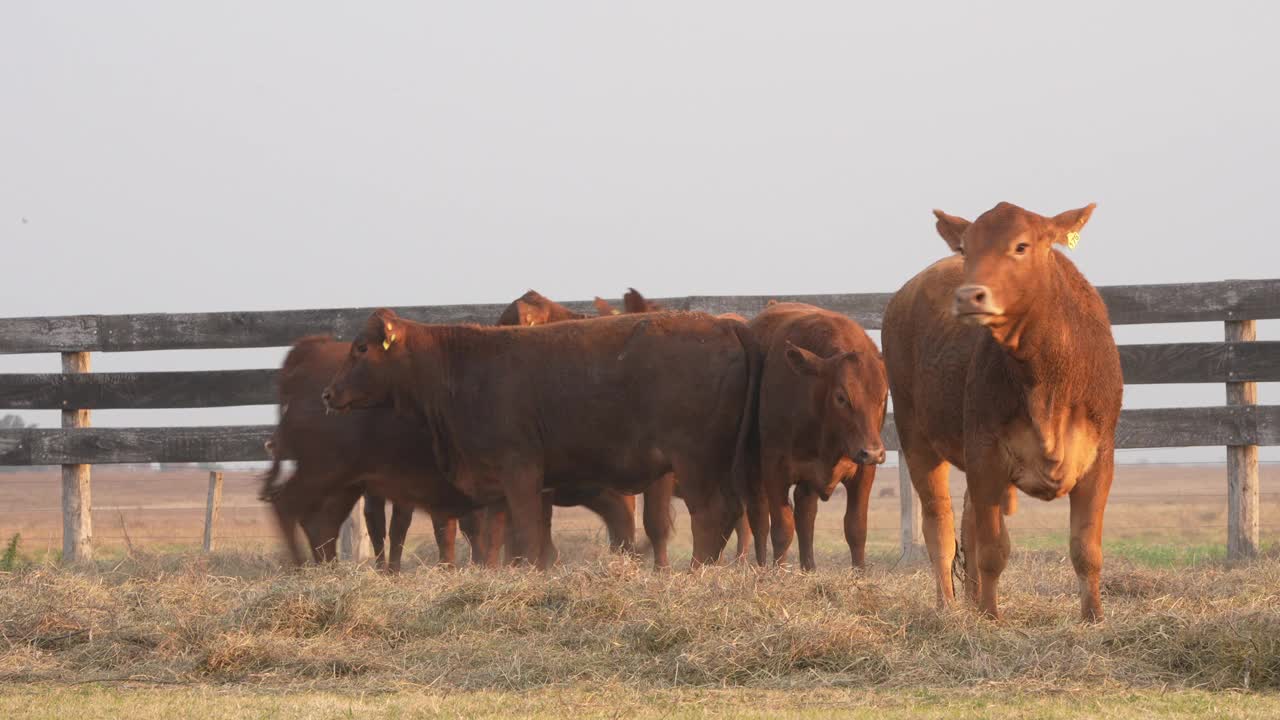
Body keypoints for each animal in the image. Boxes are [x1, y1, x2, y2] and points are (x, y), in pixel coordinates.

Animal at [322, 308, 757, 566]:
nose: (328, 393)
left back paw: (698, 570)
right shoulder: (498, 483)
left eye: (361, 348)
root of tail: (726, 325)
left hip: (695, 463)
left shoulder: (521, 471)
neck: (461, 368)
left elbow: (528, 535)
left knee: (710, 516)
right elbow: (500, 537)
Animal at [747, 299, 890, 568]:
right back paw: (761, 566)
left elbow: (856, 528)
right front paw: (778, 572)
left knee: (805, 514)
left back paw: (809, 568)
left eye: (884, 395)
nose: (873, 452)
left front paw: (860, 573)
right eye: (841, 397)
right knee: (759, 518)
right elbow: (781, 528)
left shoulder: (864, 471)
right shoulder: (773, 468)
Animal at [880, 199, 1121, 617]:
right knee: (941, 529)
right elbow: (993, 550)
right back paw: (948, 609)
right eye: (966, 248)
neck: (1047, 381)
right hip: (916, 439)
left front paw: (1094, 618)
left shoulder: (1099, 459)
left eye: (1021, 246)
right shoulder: (985, 456)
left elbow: (1086, 550)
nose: (968, 297)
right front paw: (991, 618)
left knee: (967, 524)